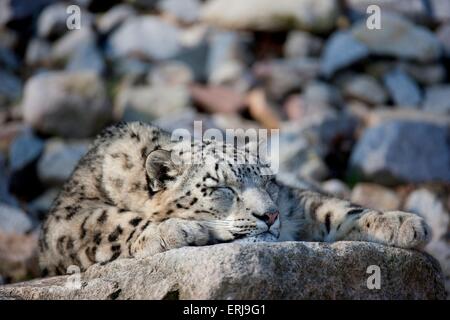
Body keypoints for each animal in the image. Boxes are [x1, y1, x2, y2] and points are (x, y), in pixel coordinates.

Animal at [39, 121, 432, 276]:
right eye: (222, 188)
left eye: (268, 182)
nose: (270, 216)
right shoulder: (65, 220)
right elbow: (107, 221)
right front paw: (177, 230)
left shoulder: (292, 201)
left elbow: (331, 207)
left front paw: (404, 222)